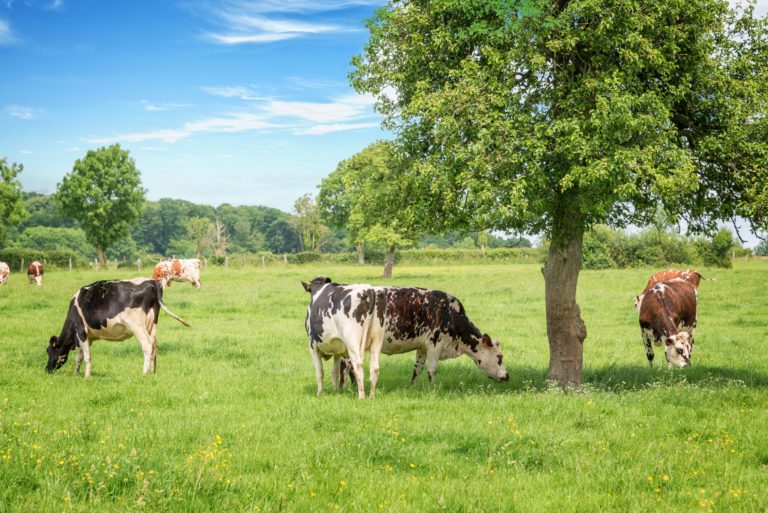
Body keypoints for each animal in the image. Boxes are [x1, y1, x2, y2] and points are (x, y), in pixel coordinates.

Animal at [45, 280, 191, 376]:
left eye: (49, 351)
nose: (47, 369)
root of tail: (151, 282)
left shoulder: (81, 331)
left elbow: (86, 356)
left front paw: (87, 376)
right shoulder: (88, 337)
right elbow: (80, 357)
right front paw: (76, 373)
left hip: (137, 326)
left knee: (147, 346)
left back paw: (144, 373)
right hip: (152, 325)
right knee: (154, 345)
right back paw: (152, 372)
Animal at [302, 276, 510, 400]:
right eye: (500, 357)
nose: (507, 376)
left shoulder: (422, 347)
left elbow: (417, 368)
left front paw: (413, 386)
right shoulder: (435, 343)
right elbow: (432, 369)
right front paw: (433, 389)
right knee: (349, 367)